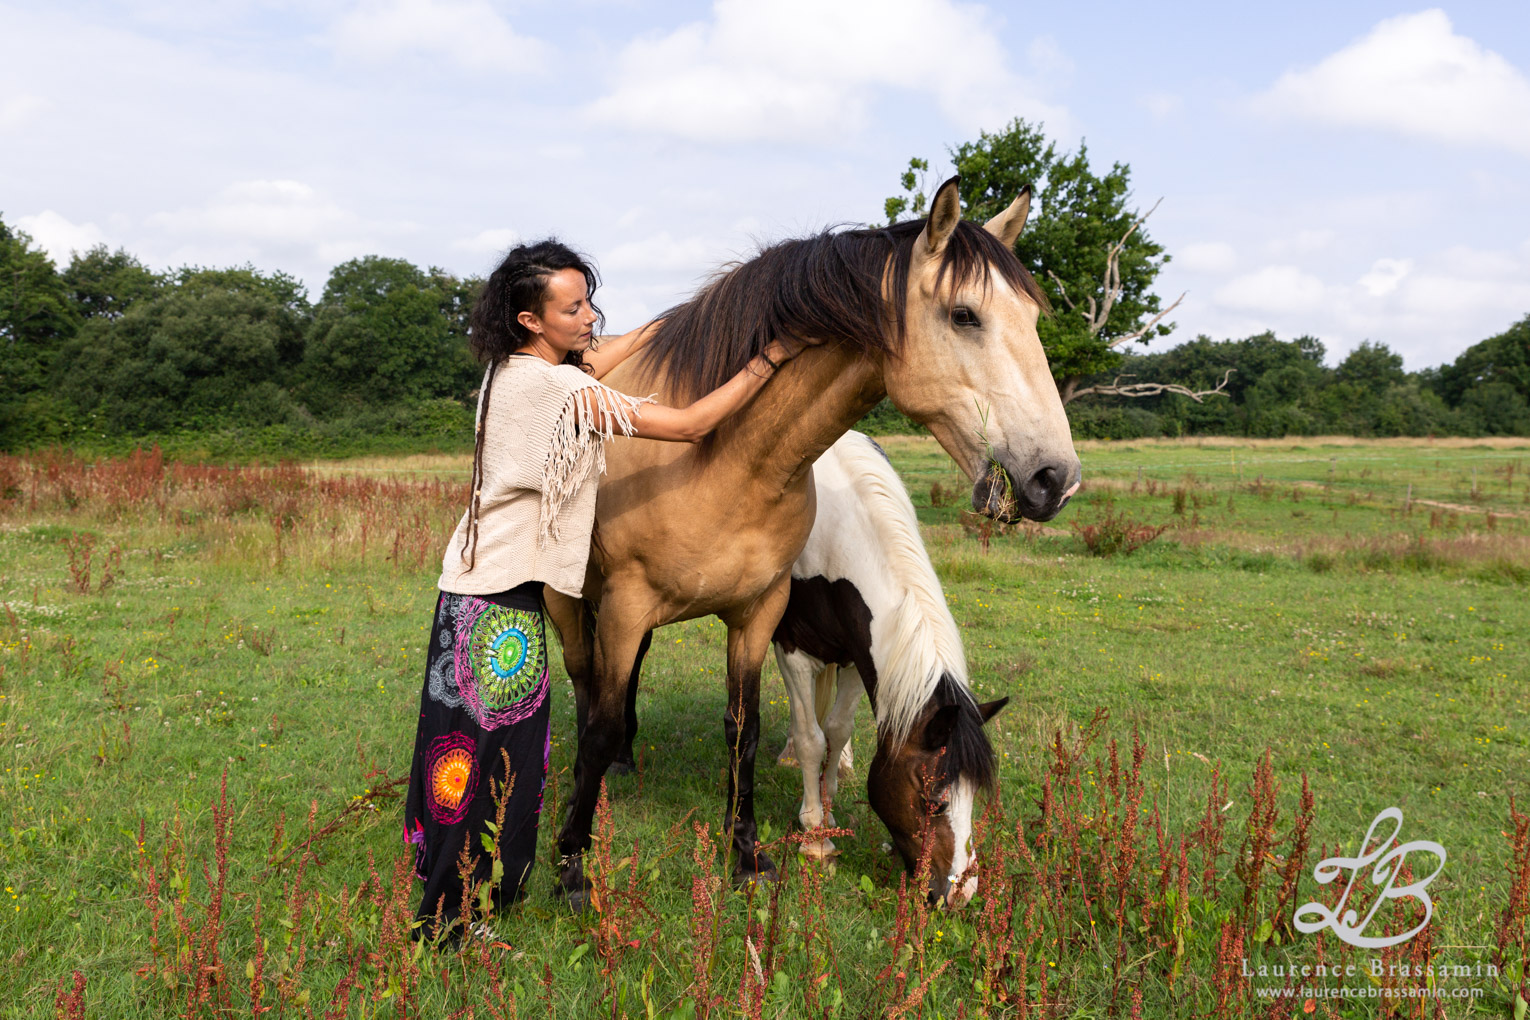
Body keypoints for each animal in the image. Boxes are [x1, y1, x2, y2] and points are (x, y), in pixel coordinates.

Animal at [544, 175, 1083, 911]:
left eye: (1033, 317)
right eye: (965, 315)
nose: (1056, 478)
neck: (728, 461)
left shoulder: (784, 622)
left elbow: (776, 731)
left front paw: (786, 835)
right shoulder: (743, 629)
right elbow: (614, 717)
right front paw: (575, 861)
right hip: (571, 597)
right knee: (586, 680)